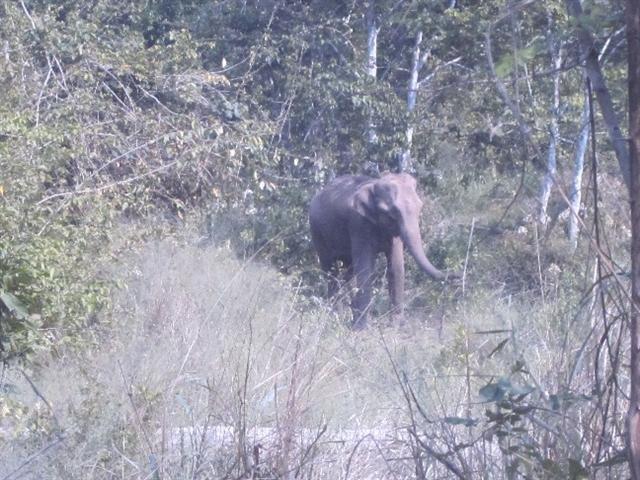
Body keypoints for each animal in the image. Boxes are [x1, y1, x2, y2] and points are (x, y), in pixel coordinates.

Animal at [309, 172, 457, 329]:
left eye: (420, 206)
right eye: (394, 212)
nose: (458, 276)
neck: (373, 185)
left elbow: (396, 267)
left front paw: (397, 326)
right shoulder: (358, 224)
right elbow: (365, 269)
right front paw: (361, 329)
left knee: (347, 272)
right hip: (317, 233)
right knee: (330, 271)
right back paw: (335, 318)